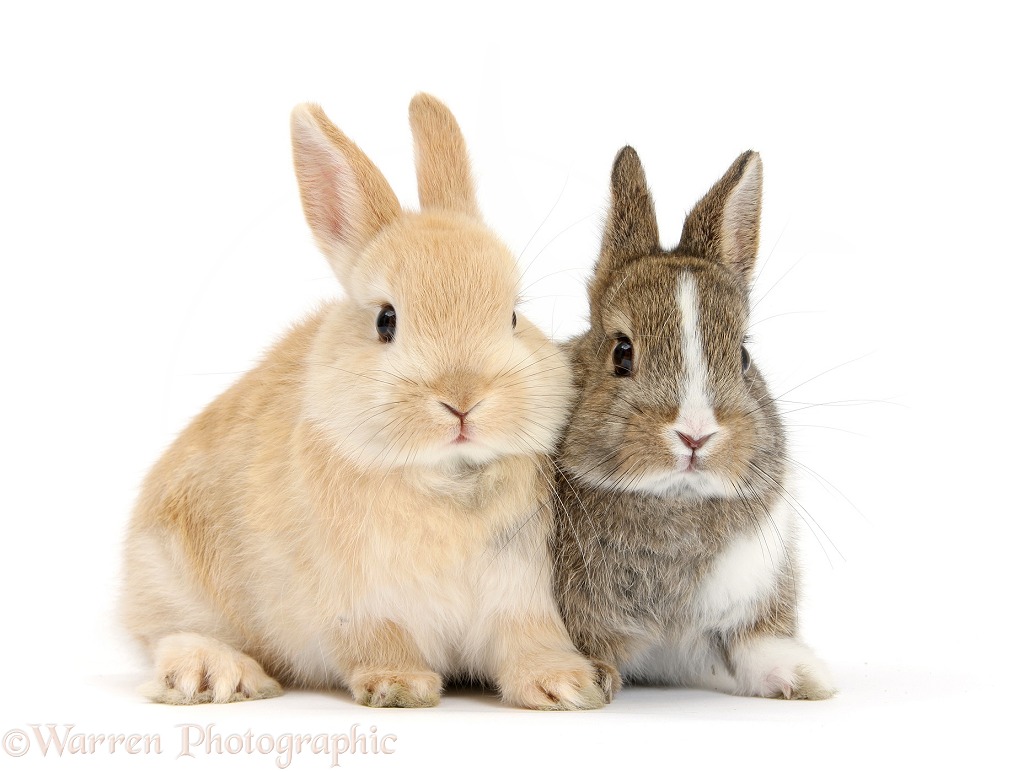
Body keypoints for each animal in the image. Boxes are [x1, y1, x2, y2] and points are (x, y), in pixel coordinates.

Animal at [122, 93, 606, 708]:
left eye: (514, 316)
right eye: (386, 321)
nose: (463, 400)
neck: (446, 476)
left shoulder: (520, 596)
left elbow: (530, 642)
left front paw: (564, 685)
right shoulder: (357, 606)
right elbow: (377, 643)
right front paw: (399, 686)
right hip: (168, 573)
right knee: (168, 634)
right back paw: (216, 673)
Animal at [557, 147, 834, 704]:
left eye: (743, 356)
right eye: (622, 353)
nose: (695, 435)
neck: (674, 502)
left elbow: (751, 646)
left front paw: (806, 678)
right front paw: (584, 679)